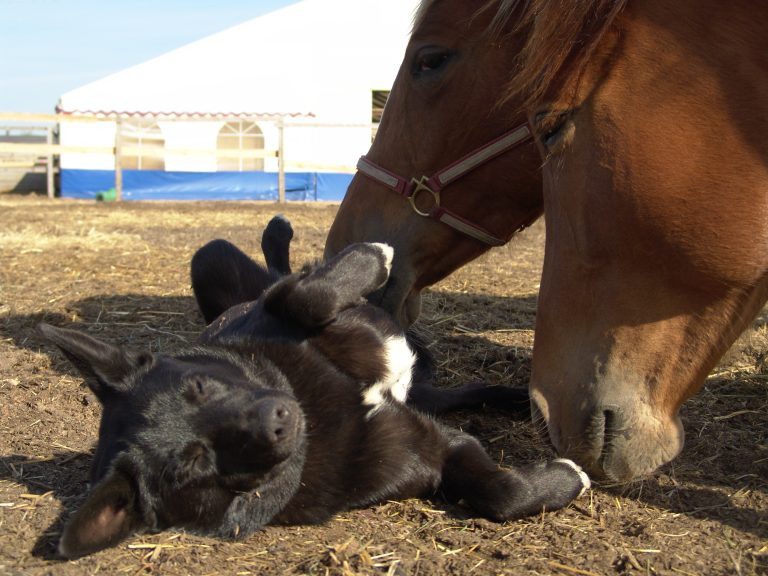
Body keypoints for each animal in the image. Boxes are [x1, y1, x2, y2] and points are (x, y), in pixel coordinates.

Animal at [39, 217, 588, 560]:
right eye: (193, 464)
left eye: (199, 386)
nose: (278, 418)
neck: (320, 407)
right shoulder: (433, 448)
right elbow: (500, 493)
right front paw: (569, 478)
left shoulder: (278, 311)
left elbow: (306, 293)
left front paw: (373, 255)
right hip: (424, 403)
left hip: (214, 261)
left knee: (282, 272)